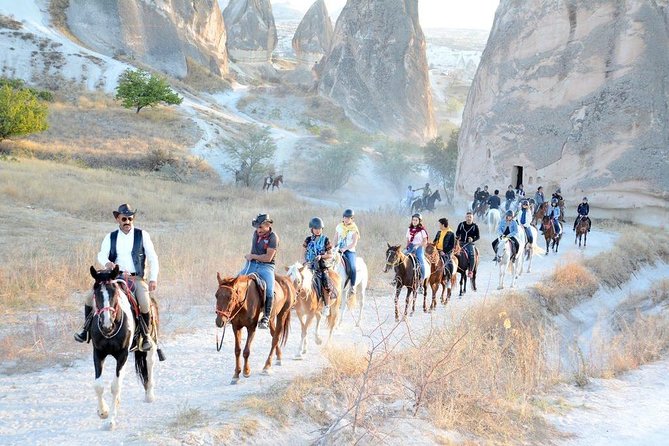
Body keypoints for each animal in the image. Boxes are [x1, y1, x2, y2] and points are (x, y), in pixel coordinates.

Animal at [88, 266, 159, 430]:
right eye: (96, 293)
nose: (106, 325)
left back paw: (149, 395)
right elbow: (99, 385)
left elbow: (115, 386)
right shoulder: (98, 353)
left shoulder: (122, 355)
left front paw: (111, 421)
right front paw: (103, 412)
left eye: (114, 293)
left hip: (151, 343)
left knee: (150, 363)